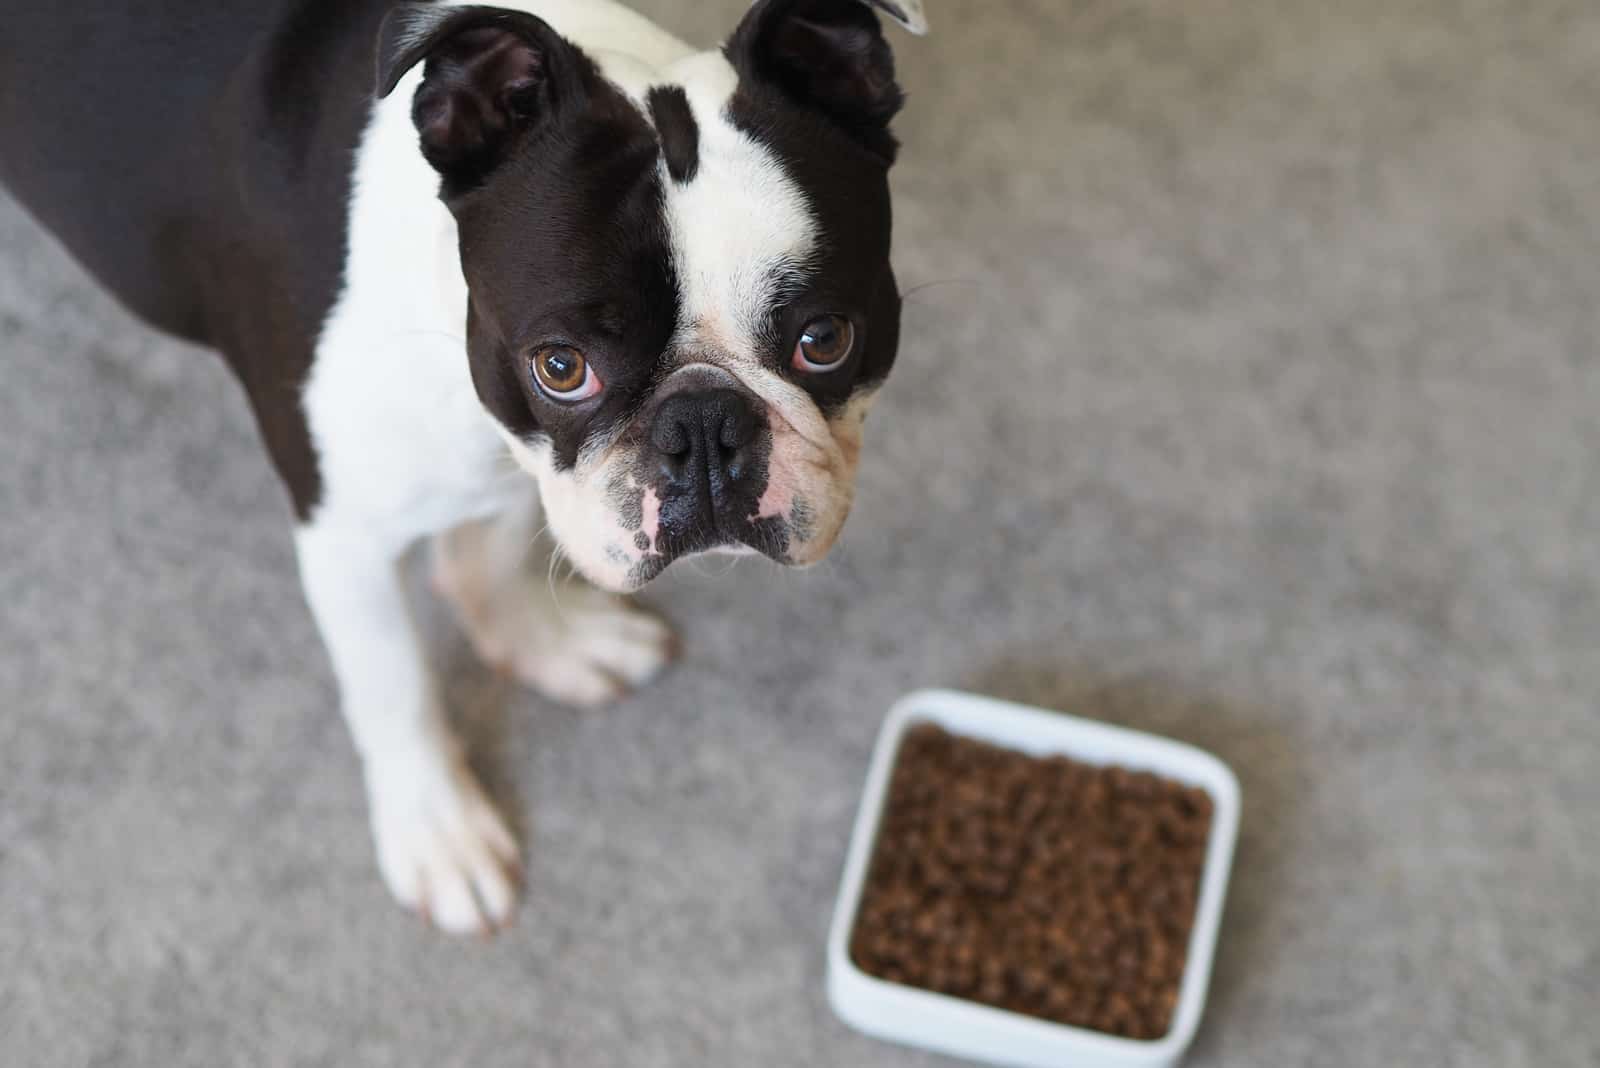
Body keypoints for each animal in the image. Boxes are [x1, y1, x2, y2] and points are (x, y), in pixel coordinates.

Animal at [0, 0, 928, 933]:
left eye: (825, 339)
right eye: (561, 367)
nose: (702, 426)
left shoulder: (519, 460)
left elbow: (494, 553)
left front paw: (545, 642)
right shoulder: (348, 537)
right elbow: (394, 683)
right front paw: (436, 830)